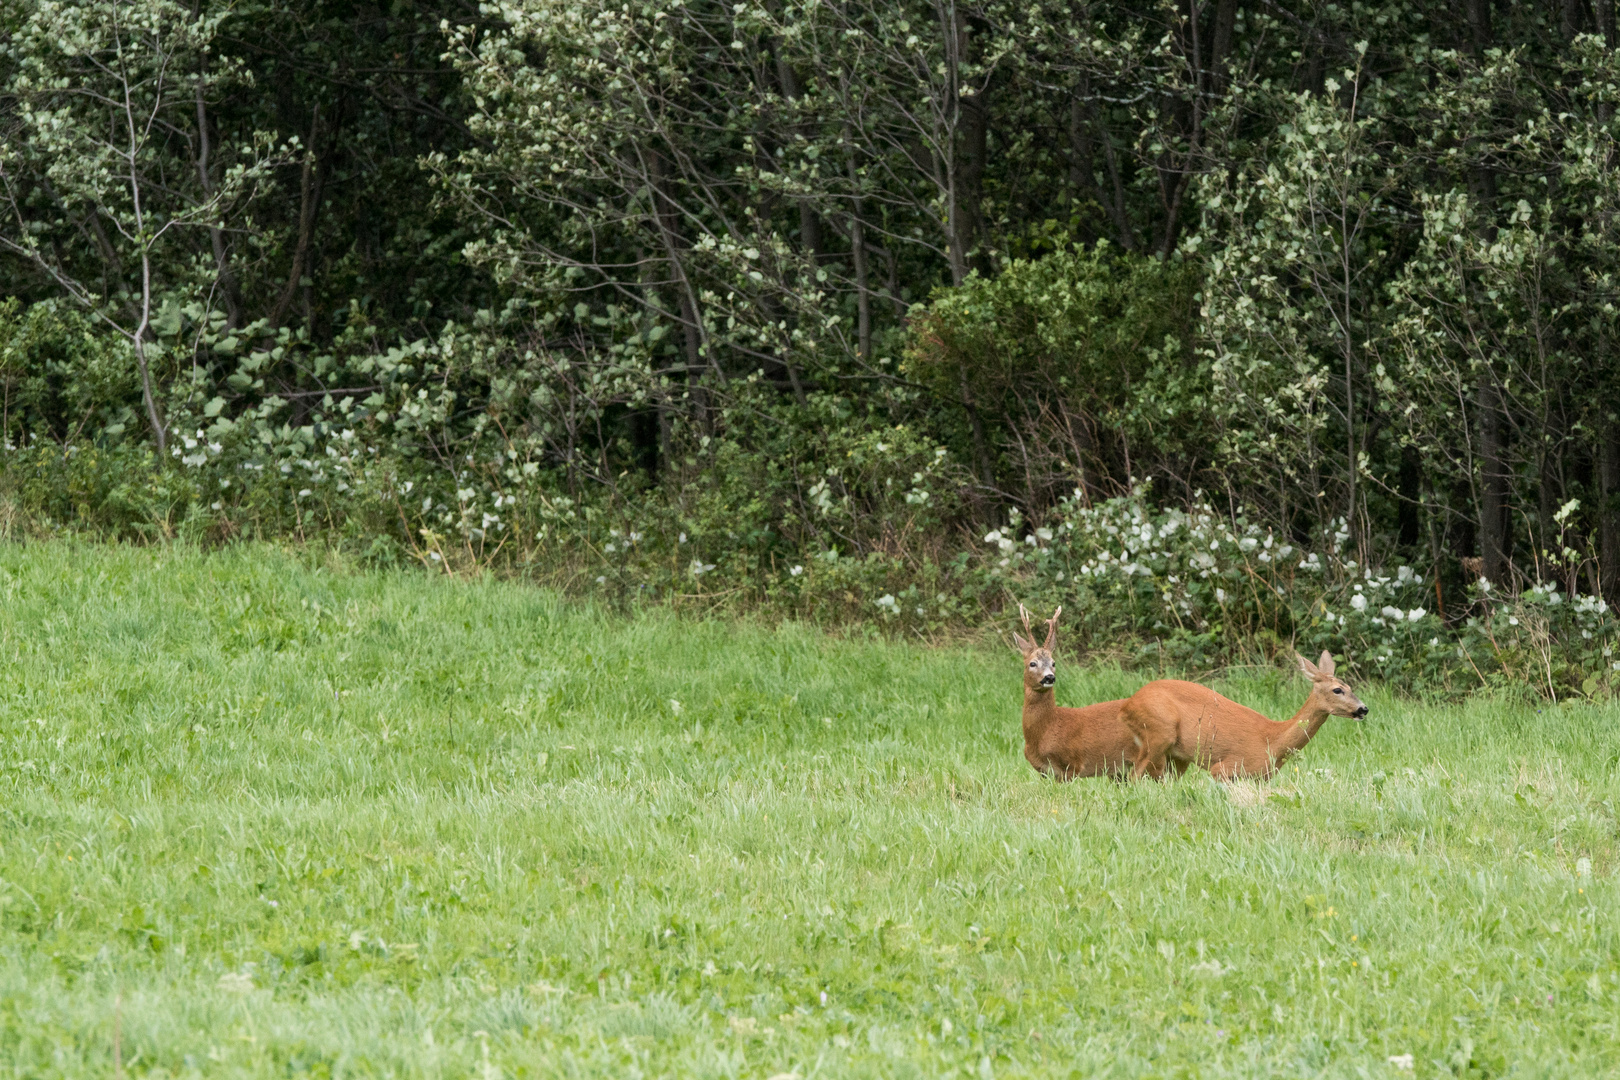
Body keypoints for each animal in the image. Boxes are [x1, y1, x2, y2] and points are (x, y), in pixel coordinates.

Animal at [1121, 647, 1373, 780]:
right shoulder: (1224, 768)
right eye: (1338, 689)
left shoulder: (1262, 778)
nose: (1363, 709)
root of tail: (1129, 703)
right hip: (1157, 733)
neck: (1273, 741)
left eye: (1350, 686)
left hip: (1178, 754)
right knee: (1133, 776)